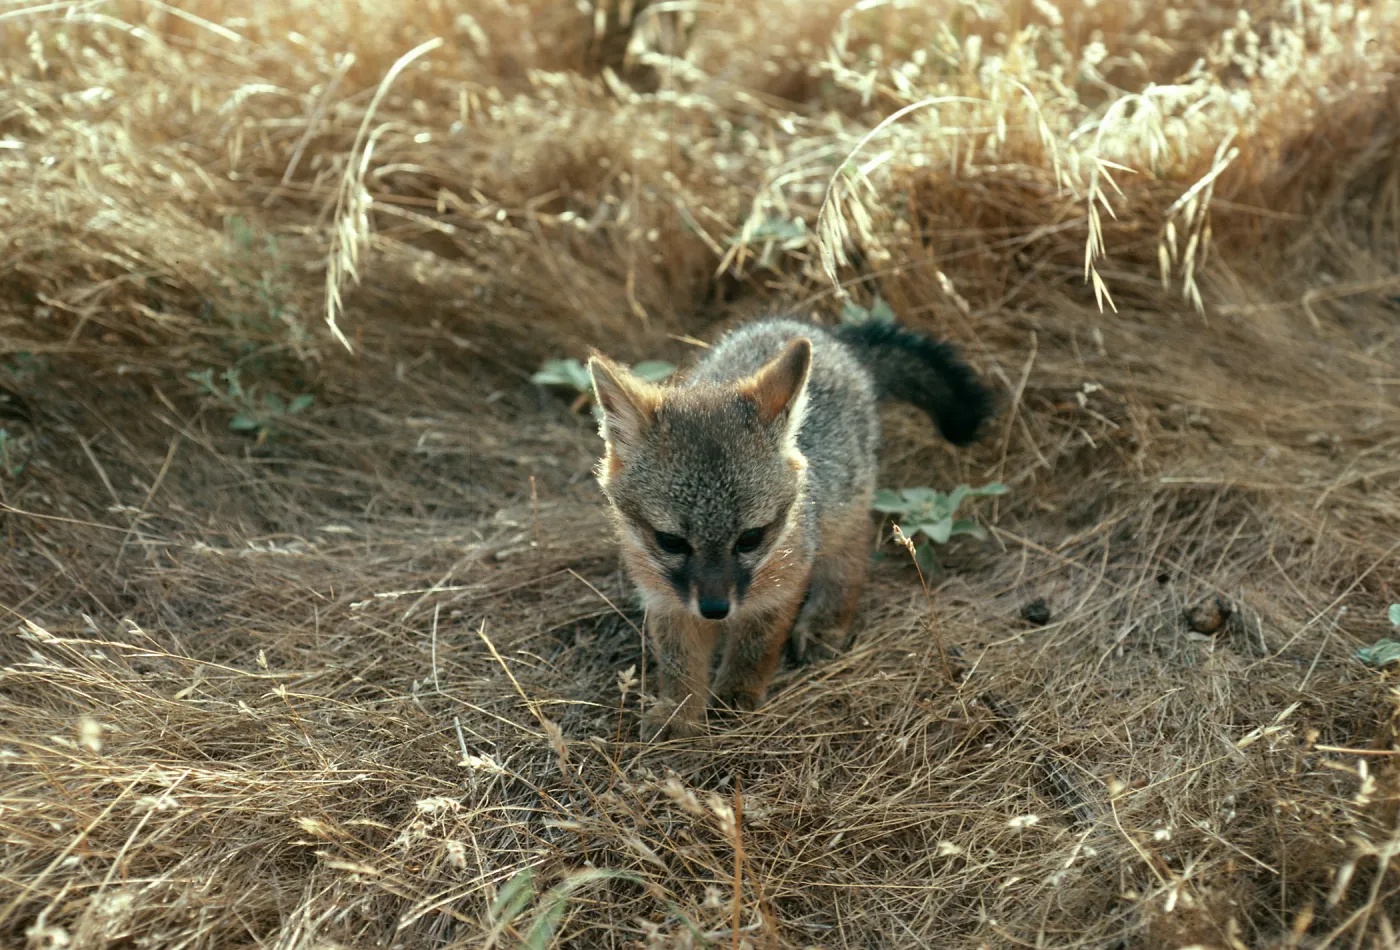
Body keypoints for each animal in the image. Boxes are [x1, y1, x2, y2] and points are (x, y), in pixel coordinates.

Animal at [586, 316, 995, 739]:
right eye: (670, 542)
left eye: (750, 538)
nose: (716, 610)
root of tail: (831, 337)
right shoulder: (666, 600)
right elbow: (679, 663)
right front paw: (677, 710)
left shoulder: (781, 588)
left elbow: (755, 647)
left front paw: (736, 693)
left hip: (842, 515)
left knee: (851, 559)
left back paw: (825, 622)